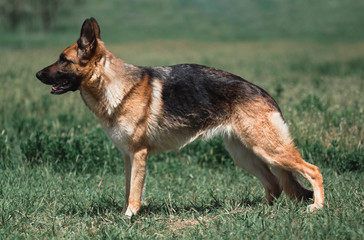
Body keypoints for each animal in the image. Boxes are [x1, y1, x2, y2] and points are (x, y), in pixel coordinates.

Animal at [35, 16, 324, 216]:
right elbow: (128, 189)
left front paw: (129, 217)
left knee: (313, 170)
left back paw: (318, 207)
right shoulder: (128, 157)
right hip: (245, 155)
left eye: (63, 60)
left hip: (269, 150)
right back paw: (258, 210)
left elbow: (134, 192)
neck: (112, 84)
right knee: (274, 184)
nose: (37, 74)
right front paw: (126, 214)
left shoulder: (138, 155)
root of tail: (265, 93)